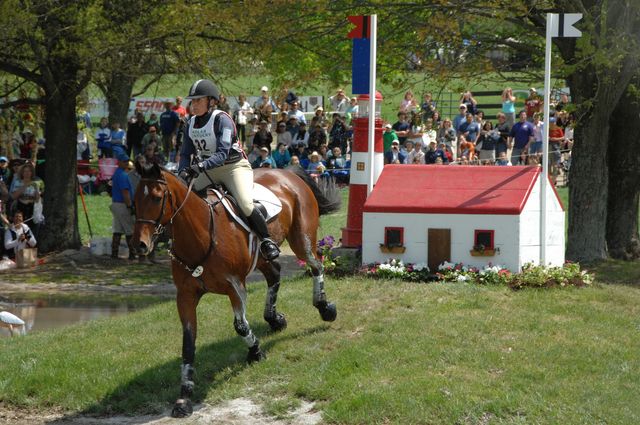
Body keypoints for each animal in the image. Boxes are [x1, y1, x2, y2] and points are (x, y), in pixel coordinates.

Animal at [130, 163, 340, 418]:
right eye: (134, 200)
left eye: (157, 197)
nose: (140, 245)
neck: (200, 236)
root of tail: (287, 173)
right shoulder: (186, 296)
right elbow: (188, 343)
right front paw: (184, 398)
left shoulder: (235, 288)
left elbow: (240, 326)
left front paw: (256, 352)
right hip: (262, 257)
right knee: (274, 273)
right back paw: (275, 319)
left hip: (302, 239)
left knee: (316, 264)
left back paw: (325, 308)